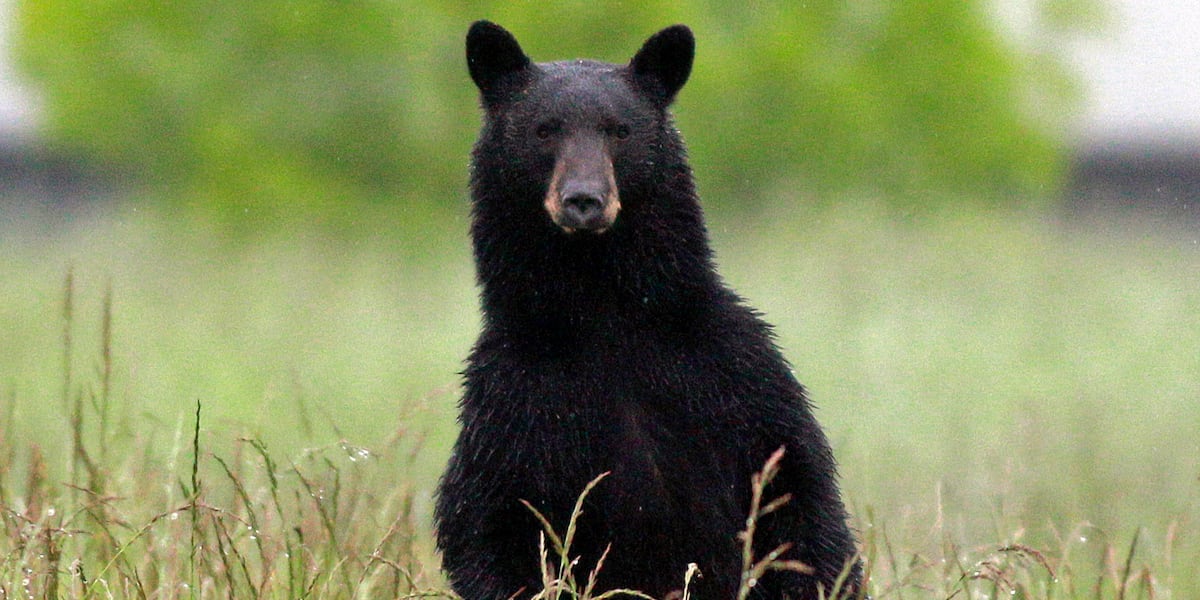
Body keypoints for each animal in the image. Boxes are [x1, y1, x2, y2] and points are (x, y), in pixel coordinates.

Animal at [435, 21, 862, 600]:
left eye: (620, 130)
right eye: (544, 130)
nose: (584, 200)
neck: (604, 313)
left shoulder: (734, 375)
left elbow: (801, 507)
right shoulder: (514, 402)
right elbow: (488, 526)